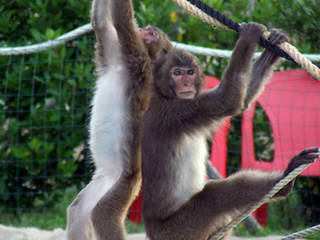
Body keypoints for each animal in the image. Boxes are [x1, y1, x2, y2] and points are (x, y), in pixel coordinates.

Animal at [66, 0, 174, 240]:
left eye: (152, 33)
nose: (145, 29)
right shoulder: (113, 52)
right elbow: (101, 23)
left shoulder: (137, 58)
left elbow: (121, 21)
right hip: (102, 184)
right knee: (78, 211)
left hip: (123, 185)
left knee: (102, 214)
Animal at [141, 23, 320, 240]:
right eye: (177, 73)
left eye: (190, 72)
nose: (186, 84)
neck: (163, 95)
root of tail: (152, 229)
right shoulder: (178, 112)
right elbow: (228, 100)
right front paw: (249, 37)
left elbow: (242, 101)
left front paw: (271, 50)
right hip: (177, 229)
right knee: (214, 197)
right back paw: (283, 183)